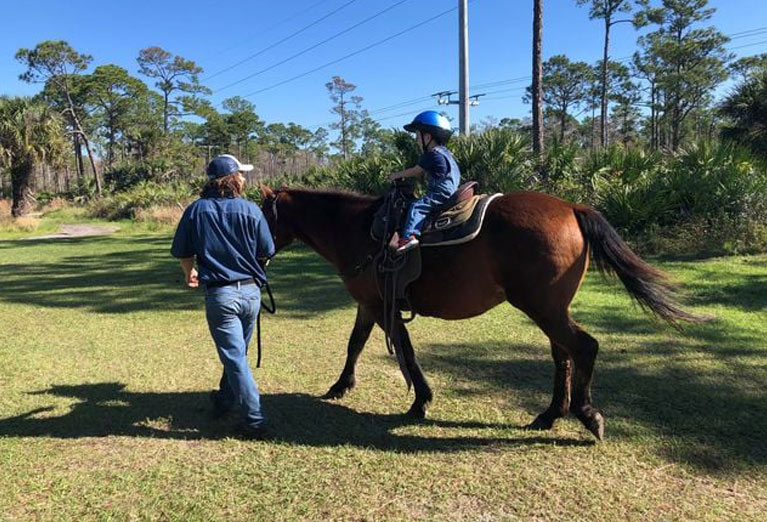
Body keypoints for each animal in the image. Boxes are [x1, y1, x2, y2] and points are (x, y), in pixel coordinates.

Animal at [260, 185, 700, 436]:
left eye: (261, 212)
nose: (258, 251)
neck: (359, 230)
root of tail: (572, 207)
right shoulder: (370, 304)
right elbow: (355, 344)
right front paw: (341, 386)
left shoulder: (383, 307)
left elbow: (405, 353)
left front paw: (420, 401)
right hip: (552, 308)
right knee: (563, 355)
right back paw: (549, 415)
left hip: (542, 306)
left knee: (584, 347)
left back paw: (586, 414)